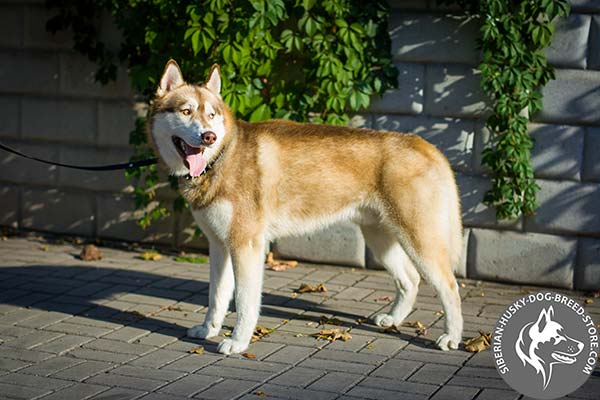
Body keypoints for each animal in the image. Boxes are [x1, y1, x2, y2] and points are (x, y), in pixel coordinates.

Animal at [149, 59, 464, 354]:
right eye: (186, 111)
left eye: (211, 115)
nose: (208, 136)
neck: (222, 157)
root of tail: (425, 145)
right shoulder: (219, 245)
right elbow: (216, 296)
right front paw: (208, 330)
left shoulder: (246, 246)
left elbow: (245, 301)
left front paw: (238, 341)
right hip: (379, 239)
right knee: (410, 280)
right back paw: (393, 319)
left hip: (419, 240)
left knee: (449, 286)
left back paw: (452, 337)